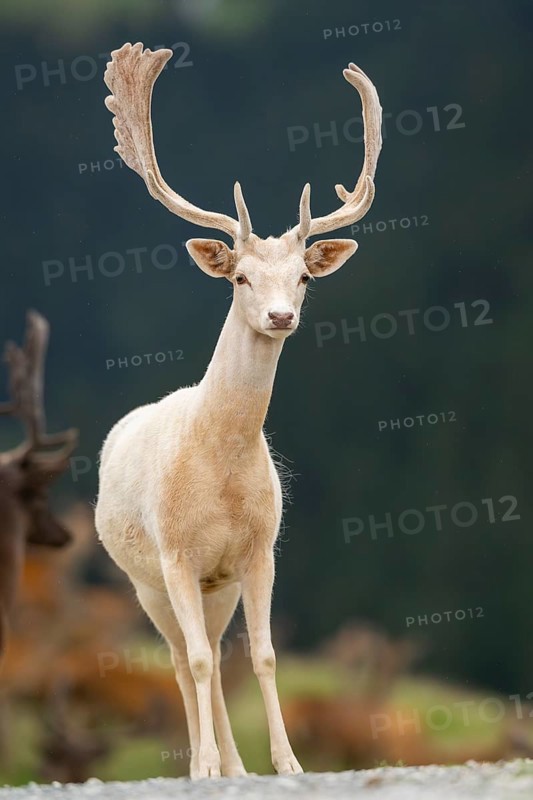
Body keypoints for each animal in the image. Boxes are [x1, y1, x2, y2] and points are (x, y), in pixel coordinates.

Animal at [95, 41, 382, 779]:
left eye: (304, 277)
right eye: (241, 277)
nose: (281, 316)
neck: (220, 467)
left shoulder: (257, 550)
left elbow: (264, 655)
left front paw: (287, 765)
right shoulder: (173, 554)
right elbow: (195, 661)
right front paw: (198, 769)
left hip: (213, 585)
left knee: (219, 659)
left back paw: (236, 765)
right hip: (146, 582)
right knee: (179, 658)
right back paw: (209, 762)